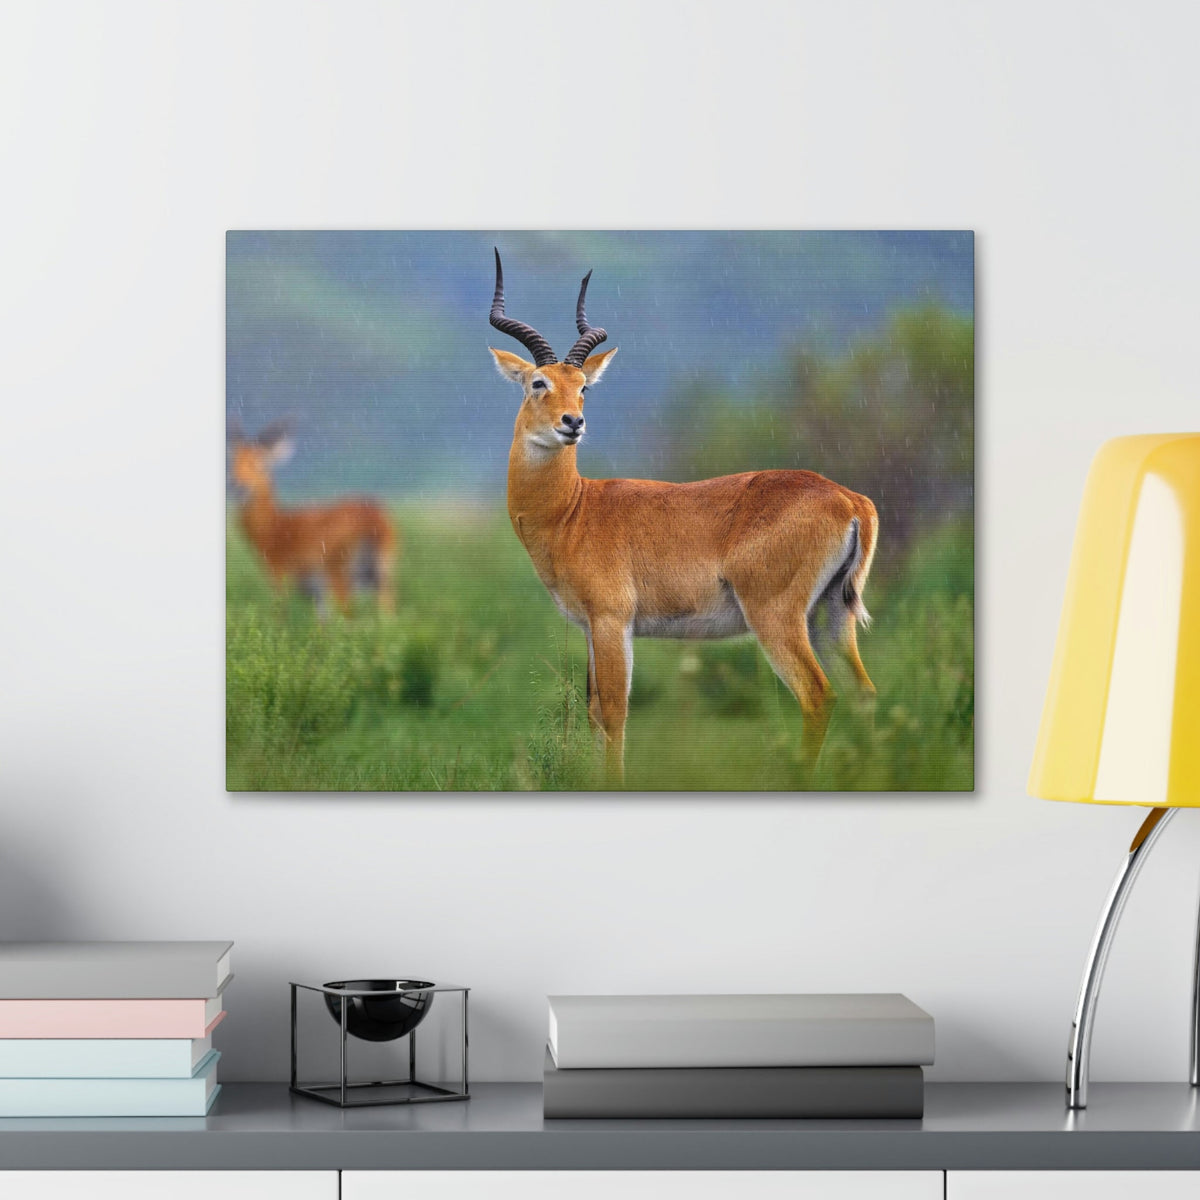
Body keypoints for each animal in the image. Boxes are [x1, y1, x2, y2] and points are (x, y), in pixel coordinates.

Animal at [229, 421, 398, 616]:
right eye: (232, 461)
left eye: (259, 462)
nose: (236, 484)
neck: (274, 526)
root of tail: (373, 517)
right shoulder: (317, 594)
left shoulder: (279, 575)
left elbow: (280, 614)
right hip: (381, 572)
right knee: (387, 609)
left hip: (341, 573)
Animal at [488, 251, 878, 784]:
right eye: (538, 382)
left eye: (583, 386)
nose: (573, 423)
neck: (573, 510)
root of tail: (849, 499)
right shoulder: (590, 627)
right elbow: (594, 713)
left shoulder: (612, 620)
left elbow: (614, 713)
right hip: (831, 614)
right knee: (864, 695)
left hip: (776, 616)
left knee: (819, 695)